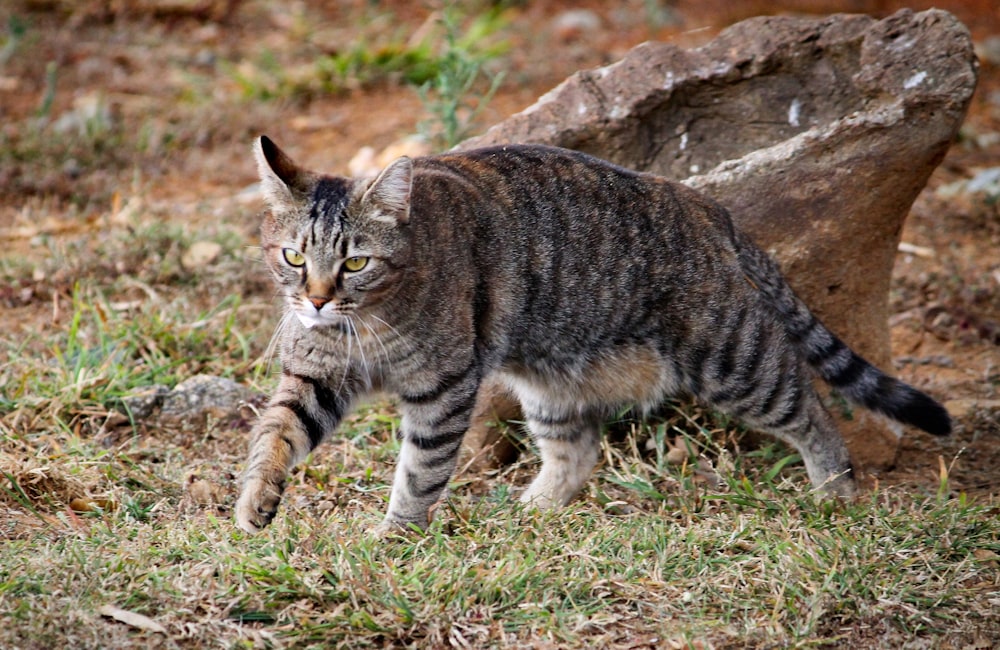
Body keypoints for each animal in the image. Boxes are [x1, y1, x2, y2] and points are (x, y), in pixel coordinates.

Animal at [236, 135, 952, 532]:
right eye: (294, 257)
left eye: (355, 263)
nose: (316, 299)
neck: (364, 324)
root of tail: (710, 208)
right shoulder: (316, 372)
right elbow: (277, 433)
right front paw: (255, 501)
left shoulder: (442, 387)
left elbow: (420, 470)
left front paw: (397, 538)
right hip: (551, 381)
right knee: (577, 454)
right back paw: (528, 513)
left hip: (734, 361)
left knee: (812, 409)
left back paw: (836, 490)